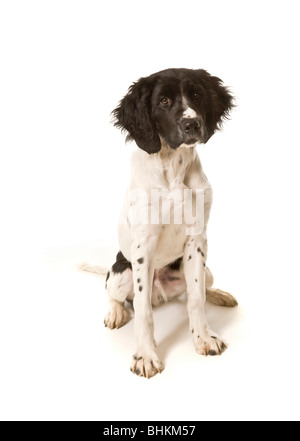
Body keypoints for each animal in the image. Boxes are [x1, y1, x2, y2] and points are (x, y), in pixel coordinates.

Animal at [84, 67, 237, 376]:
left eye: (197, 94)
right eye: (163, 101)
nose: (192, 124)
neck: (174, 171)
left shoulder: (197, 240)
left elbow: (196, 298)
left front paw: (204, 338)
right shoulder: (144, 246)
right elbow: (142, 310)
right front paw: (146, 355)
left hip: (206, 269)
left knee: (201, 288)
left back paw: (220, 294)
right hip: (121, 272)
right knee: (113, 292)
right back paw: (115, 312)